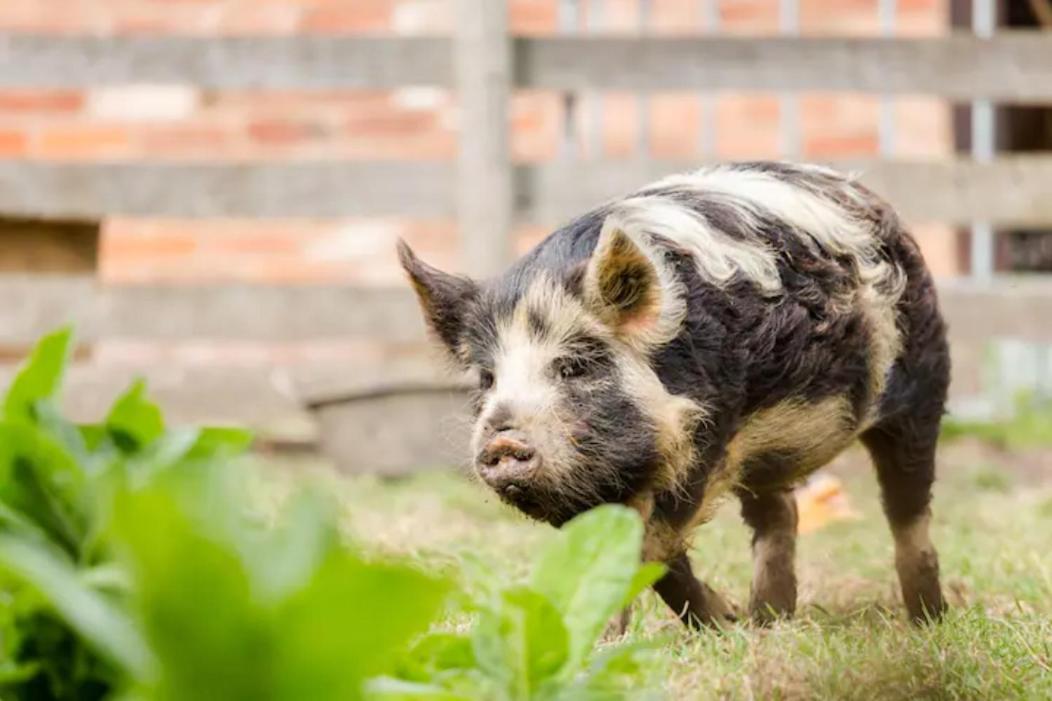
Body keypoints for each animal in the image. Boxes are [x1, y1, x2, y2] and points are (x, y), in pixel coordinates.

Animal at [398, 161, 948, 628]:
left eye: (576, 365)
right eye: (487, 379)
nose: (503, 441)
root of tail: (860, 191)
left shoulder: (706, 441)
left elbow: (646, 549)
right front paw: (724, 625)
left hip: (922, 388)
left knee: (909, 511)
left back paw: (928, 619)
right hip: (769, 451)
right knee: (779, 515)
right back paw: (767, 621)